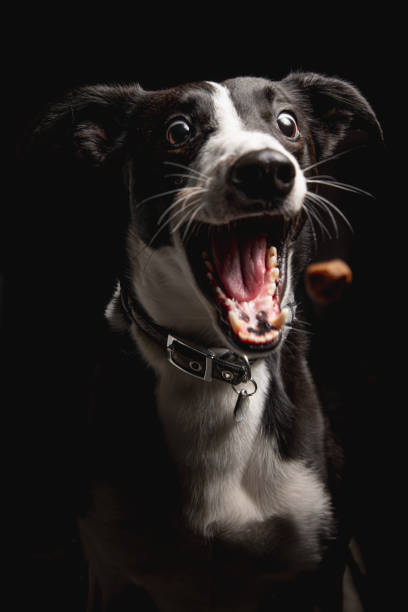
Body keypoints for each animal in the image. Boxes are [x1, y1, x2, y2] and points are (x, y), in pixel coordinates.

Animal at [35, 74, 382, 608]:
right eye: (178, 130)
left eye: (287, 122)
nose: (265, 171)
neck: (216, 367)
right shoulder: (113, 570)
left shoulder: (319, 564)